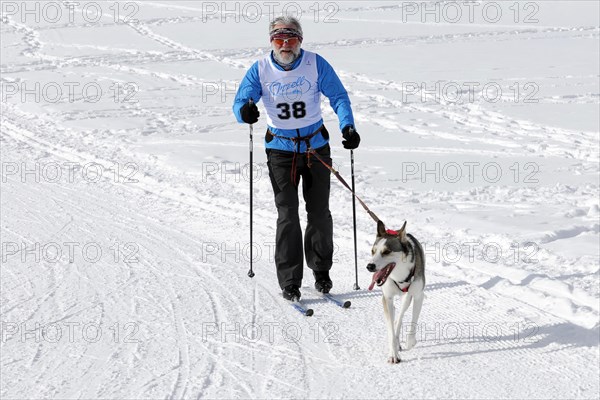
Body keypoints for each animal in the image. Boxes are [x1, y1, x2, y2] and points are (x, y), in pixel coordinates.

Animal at [366, 220, 426, 364]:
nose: (370, 266)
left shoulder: (418, 296)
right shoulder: (387, 298)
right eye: (373, 251)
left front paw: (410, 342)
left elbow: (412, 321)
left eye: (386, 251)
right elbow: (391, 331)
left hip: (407, 297)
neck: (399, 275)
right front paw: (393, 354)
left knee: (400, 314)